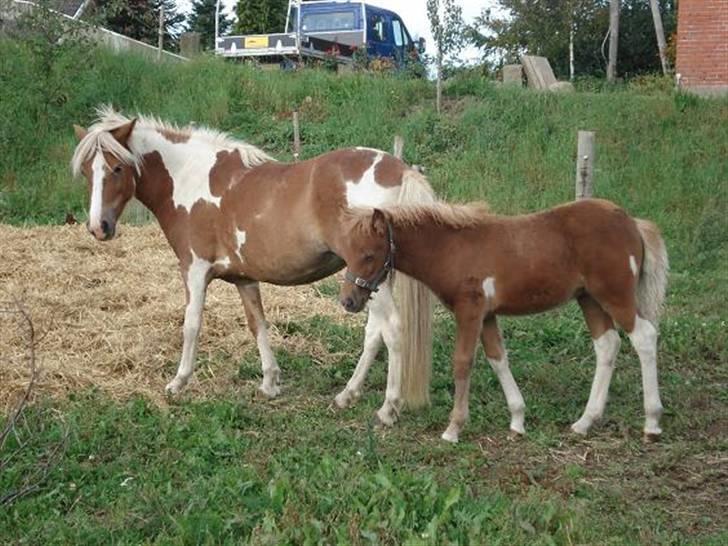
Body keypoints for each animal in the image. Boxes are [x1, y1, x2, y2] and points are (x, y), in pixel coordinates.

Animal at [71, 105, 436, 420]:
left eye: (117, 168)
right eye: (88, 171)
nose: (98, 227)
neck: (188, 177)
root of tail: (400, 169)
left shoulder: (194, 270)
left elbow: (191, 325)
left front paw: (179, 382)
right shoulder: (244, 278)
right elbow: (257, 324)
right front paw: (270, 382)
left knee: (392, 330)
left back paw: (388, 408)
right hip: (371, 283)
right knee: (374, 333)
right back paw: (347, 395)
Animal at [338, 200, 668, 442]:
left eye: (368, 255)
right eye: (348, 254)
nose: (348, 301)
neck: (451, 249)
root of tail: (632, 223)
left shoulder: (469, 310)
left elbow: (463, 362)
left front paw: (453, 428)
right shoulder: (487, 315)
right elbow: (498, 359)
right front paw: (518, 420)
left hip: (614, 295)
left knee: (644, 337)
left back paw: (652, 423)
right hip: (589, 299)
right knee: (607, 344)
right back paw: (585, 422)